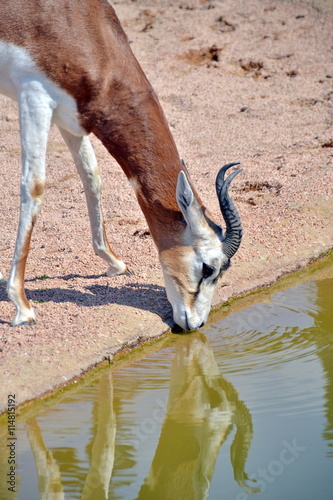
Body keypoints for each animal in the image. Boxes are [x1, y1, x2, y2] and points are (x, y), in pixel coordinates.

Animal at [1, 0, 243, 330]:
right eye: (208, 268)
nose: (195, 324)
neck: (88, 30)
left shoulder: (73, 117)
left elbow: (91, 176)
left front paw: (114, 263)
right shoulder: (34, 94)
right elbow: (34, 186)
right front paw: (22, 307)